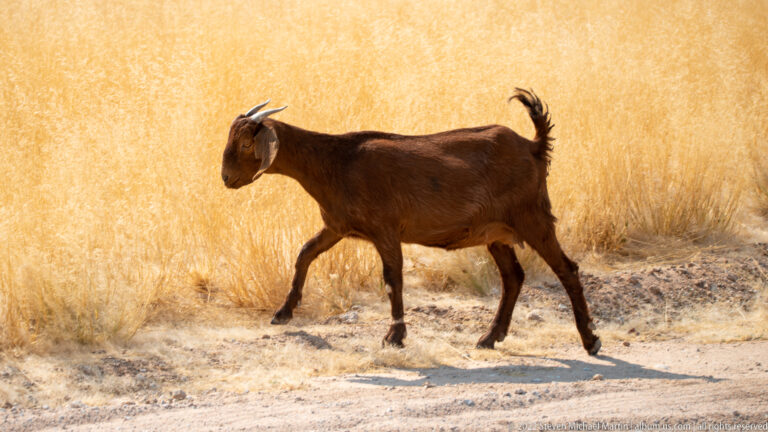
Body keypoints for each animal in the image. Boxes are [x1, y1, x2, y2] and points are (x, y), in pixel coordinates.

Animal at [221, 89, 601, 355]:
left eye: (245, 144)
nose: (226, 178)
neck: (336, 162)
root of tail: (534, 146)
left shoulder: (386, 231)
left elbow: (393, 279)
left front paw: (395, 336)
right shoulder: (338, 227)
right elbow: (304, 254)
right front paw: (283, 312)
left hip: (533, 217)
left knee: (566, 269)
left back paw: (590, 340)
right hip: (496, 232)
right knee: (513, 277)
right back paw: (490, 337)